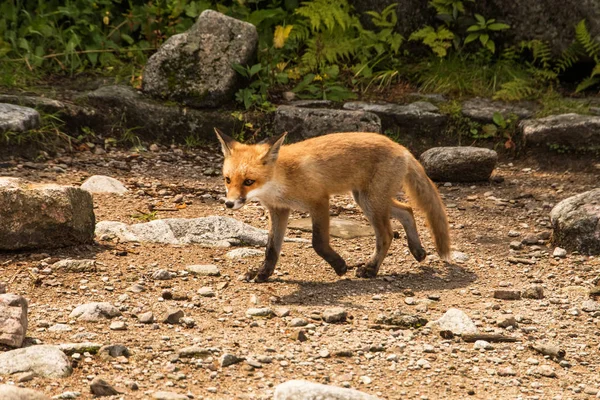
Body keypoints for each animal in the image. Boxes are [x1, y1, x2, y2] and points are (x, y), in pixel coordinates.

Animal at [216, 128, 450, 282]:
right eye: (228, 180)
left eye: (248, 181)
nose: (229, 203)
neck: (281, 180)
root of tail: (401, 147)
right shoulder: (279, 210)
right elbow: (271, 248)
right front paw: (263, 273)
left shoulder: (319, 201)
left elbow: (318, 243)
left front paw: (340, 266)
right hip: (366, 199)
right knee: (407, 211)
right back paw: (417, 250)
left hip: (371, 202)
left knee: (387, 234)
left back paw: (371, 269)